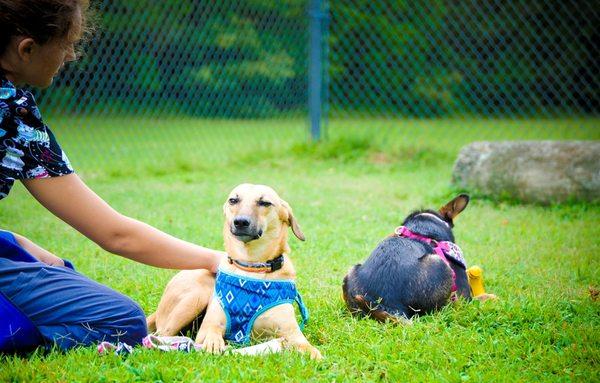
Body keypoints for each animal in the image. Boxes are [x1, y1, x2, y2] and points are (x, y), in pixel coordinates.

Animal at [147, 184, 322, 362]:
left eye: (265, 202)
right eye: (233, 200)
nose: (240, 222)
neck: (251, 266)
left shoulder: (293, 335)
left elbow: (312, 351)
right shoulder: (207, 329)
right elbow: (212, 332)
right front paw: (214, 343)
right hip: (195, 297)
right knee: (159, 336)